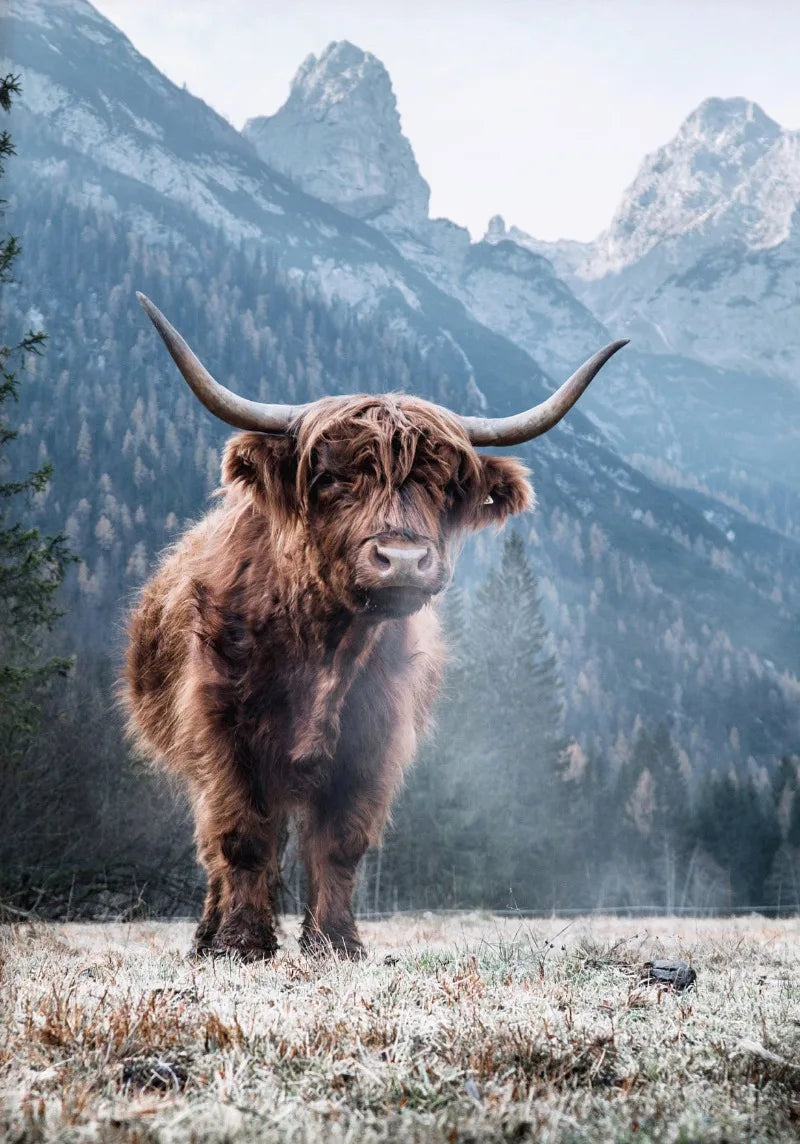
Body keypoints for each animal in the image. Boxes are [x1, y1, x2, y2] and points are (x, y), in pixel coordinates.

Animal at [124, 292, 626, 961]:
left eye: (444, 485)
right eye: (331, 479)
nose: (404, 559)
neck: (323, 645)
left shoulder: (374, 741)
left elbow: (341, 843)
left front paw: (336, 942)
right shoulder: (222, 733)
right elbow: (242, 836)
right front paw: (242, 942)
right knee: (217, 846)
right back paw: (207, 935)